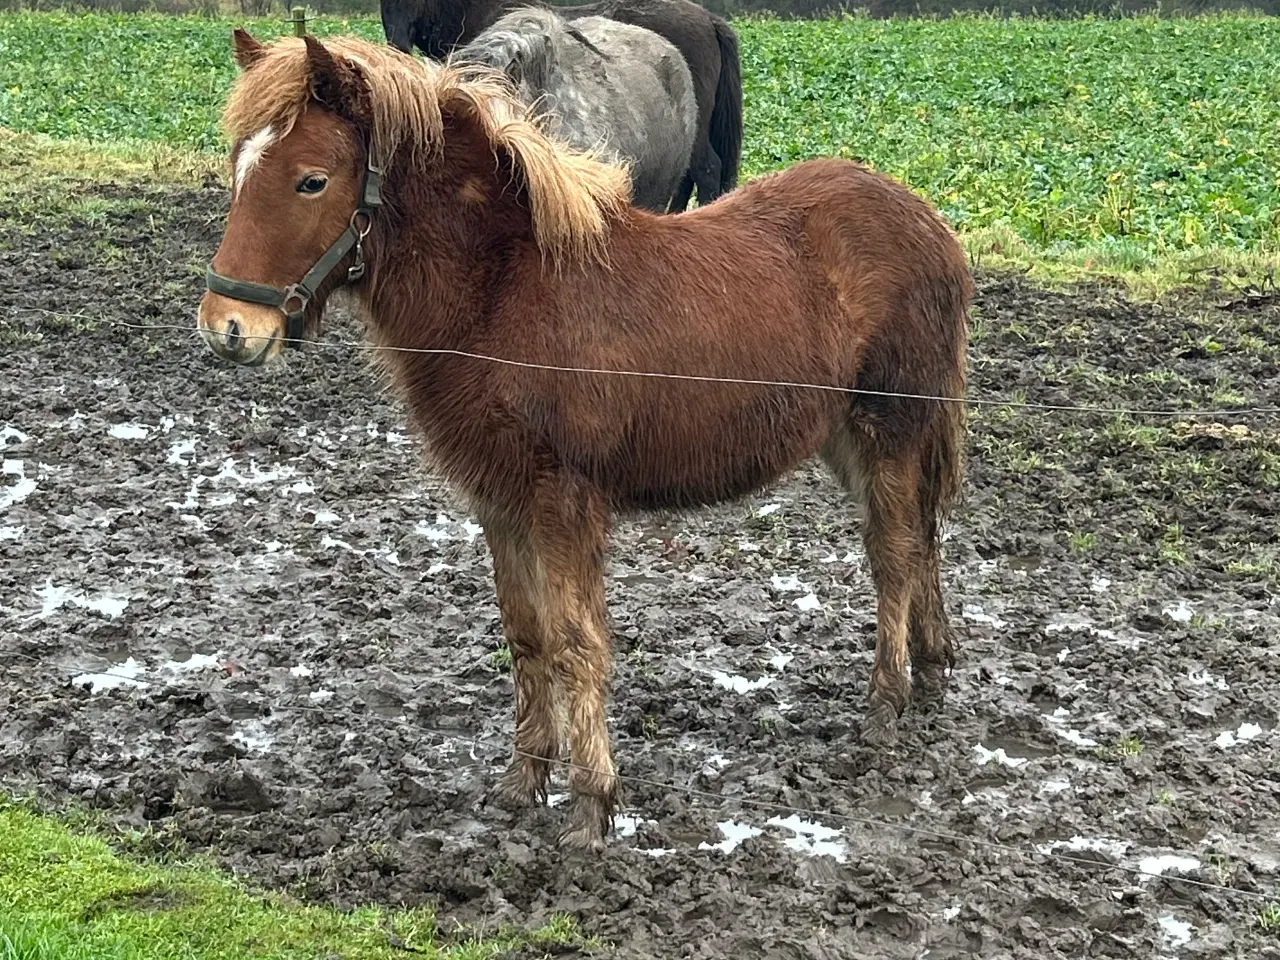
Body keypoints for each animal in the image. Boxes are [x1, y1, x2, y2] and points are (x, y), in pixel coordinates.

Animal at [194, 30, 962, 855]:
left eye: (311, 180)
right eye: (239, 164)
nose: (228, 329)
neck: (506, 291)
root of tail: (928, 223)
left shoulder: (564, 501)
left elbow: (575, 642)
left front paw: (593, 806)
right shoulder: (500, 500)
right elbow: (526, 637)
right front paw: (523, 781)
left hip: (888, 431)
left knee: (893, 555)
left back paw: (888, 702)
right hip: (849, 439)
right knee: (921, 540)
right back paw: (932, 671)